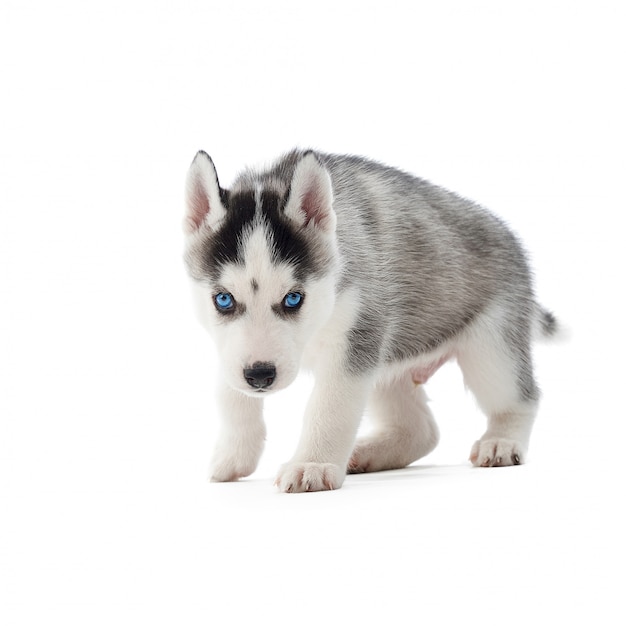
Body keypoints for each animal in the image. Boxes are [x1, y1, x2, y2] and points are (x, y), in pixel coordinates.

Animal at [183, 149, 552, 490]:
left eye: (293, 298)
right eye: (223, 299)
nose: (260, 376)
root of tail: (512, 240)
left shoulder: (354, 343)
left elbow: (329, 407)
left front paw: (312, 464)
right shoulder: (231, 348)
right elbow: (231, 395)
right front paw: (233, 456)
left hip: (491, 348)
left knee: (520, 398)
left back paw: (501, 442)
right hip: (389, 364)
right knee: (422, 430)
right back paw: (366, 454)